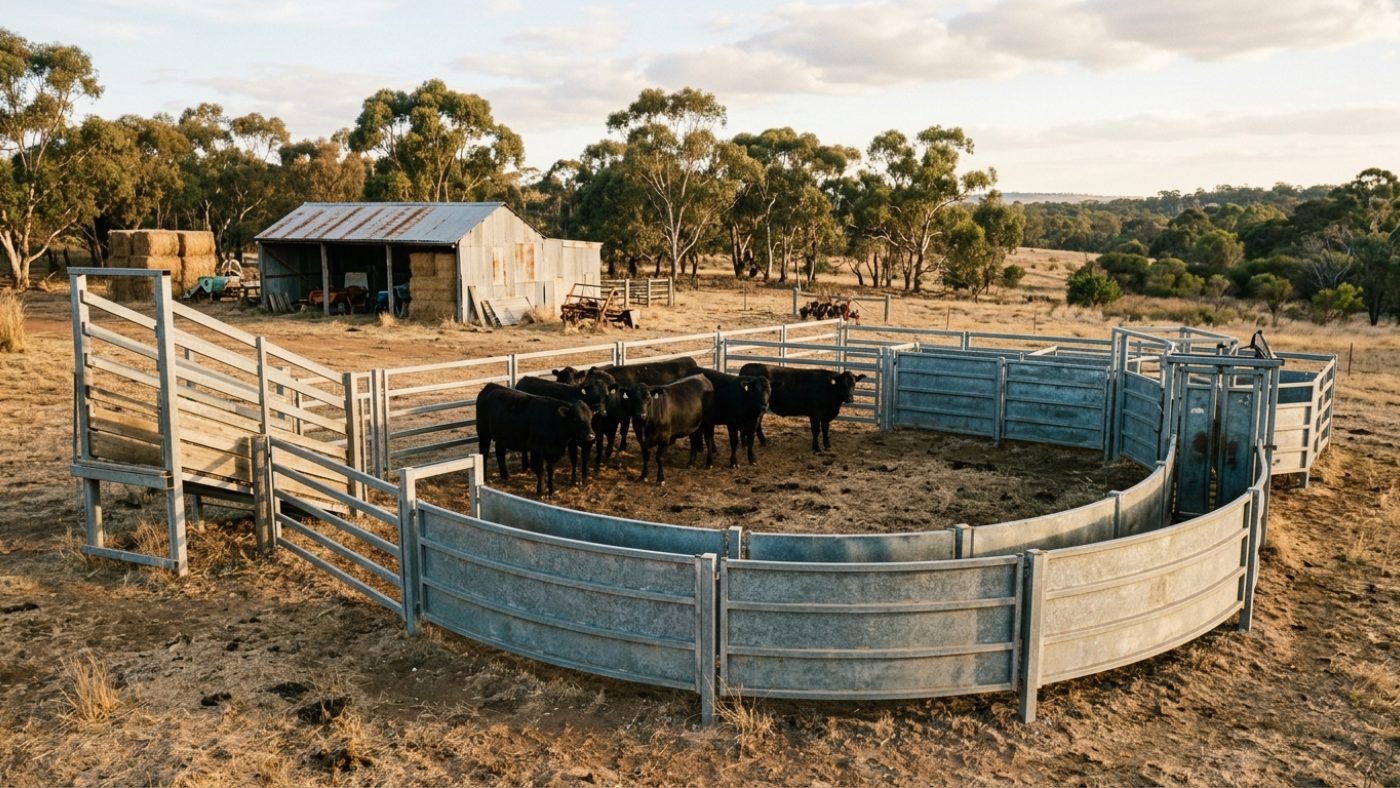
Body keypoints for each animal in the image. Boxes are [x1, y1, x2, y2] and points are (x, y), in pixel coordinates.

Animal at [738, 363, 867, 452]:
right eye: (842, 384)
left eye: (854, 384)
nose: (850, 398)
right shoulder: (815, 413)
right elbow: (816, 430)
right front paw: (816, 448)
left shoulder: (826, 415)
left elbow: (825, 430)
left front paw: (827, 446)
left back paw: (757, 443)